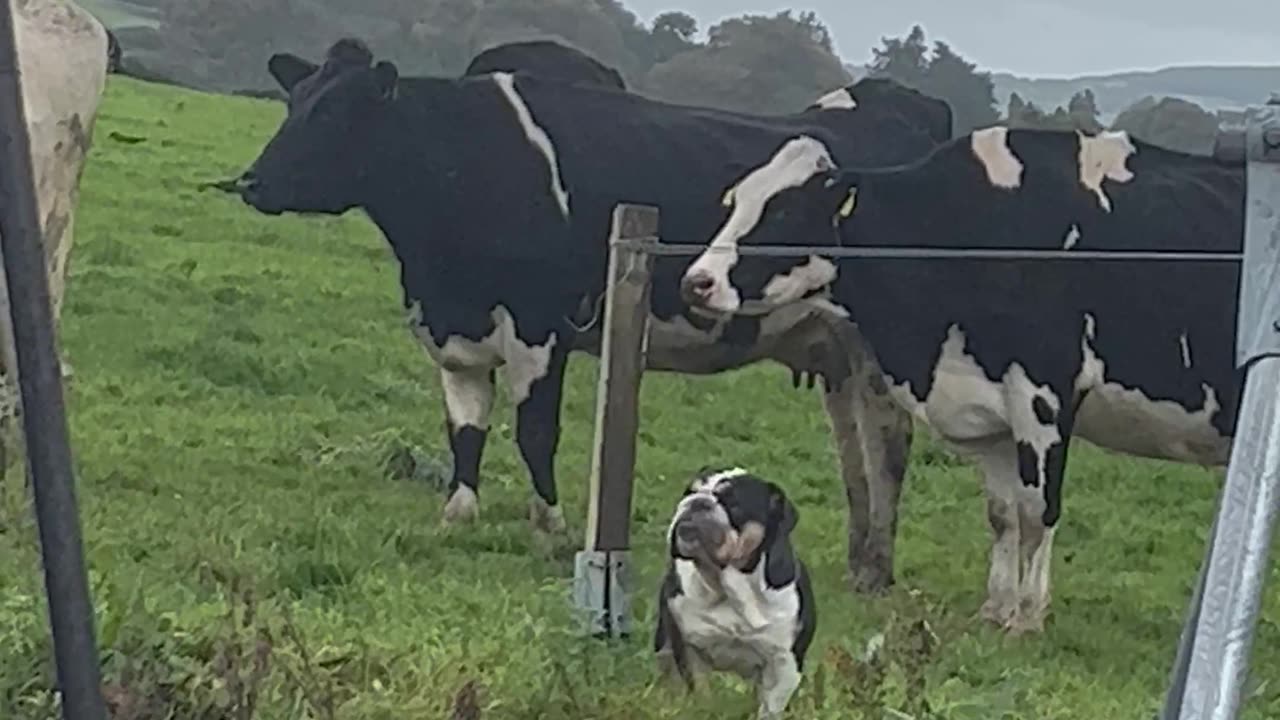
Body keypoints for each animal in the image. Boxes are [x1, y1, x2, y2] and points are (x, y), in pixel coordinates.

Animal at [232, 37, 952, 594]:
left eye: (337, 112)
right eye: (297, 102)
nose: (251, 182)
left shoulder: (539, 326)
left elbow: (534, 431)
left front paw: (549, 529)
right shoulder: (456, 333)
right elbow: (465, 431)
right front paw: (458, 515)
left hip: (878, 346)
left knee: (887, 446)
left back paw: (875, 569)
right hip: (835, 350)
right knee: (854, 451)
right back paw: (860, 558)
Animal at [655, 466, 814, 712]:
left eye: (734, 504)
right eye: (689, 492)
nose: (698, 502)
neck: (728, 587)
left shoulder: (785, 665)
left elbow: (770, 708)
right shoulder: (689, 650)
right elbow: (700, 691)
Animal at [686, 126, 1244, 630]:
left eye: (782, 210)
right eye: (735, 201)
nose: (697, 281)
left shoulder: (1044, 396)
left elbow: (1036, 513)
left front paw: (1026, 618)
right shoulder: (988, 411)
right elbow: (1002, 514)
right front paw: (995, 610)